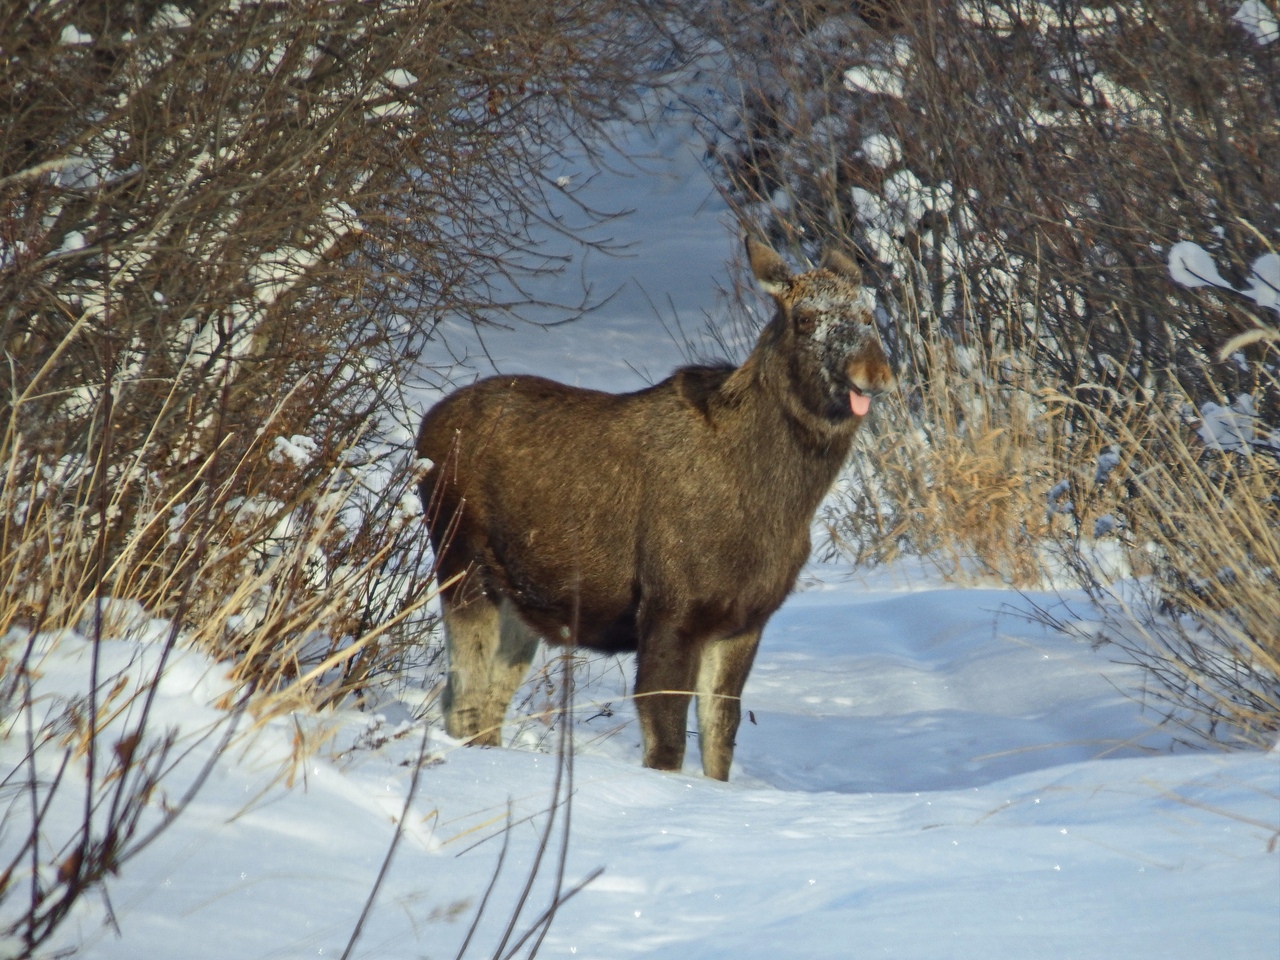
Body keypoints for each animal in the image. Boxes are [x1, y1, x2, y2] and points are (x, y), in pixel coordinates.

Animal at [414, 236, 896, 783]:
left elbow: (720, 738)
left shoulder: (745, 621)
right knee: (464, 699)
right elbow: (666, 743)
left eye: (868, 314)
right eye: (804, 318)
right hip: (462, 568)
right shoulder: (671, 609)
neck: (780, 503)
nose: (874, 373)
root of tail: (426, 431)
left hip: (519, 602)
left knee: (481, 702)